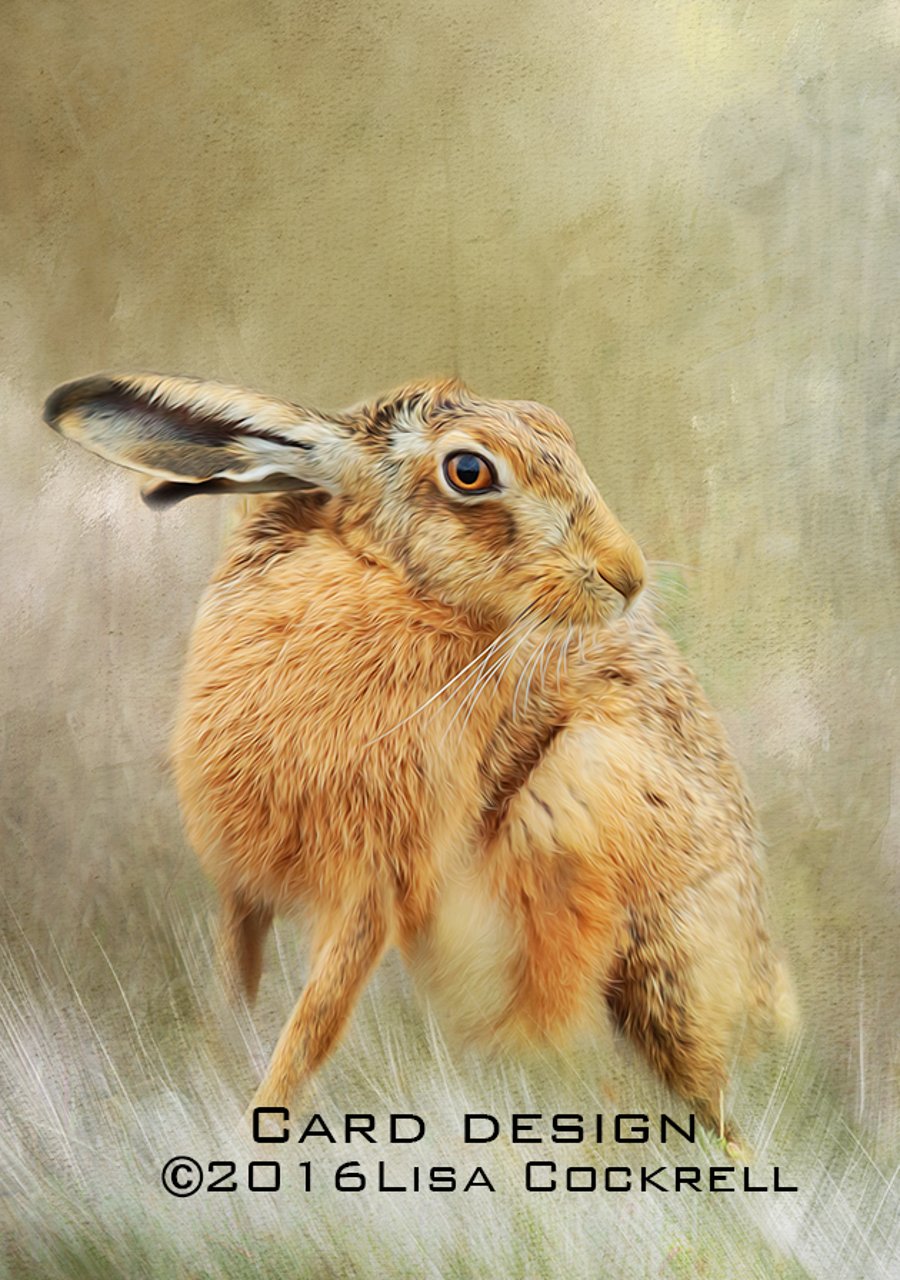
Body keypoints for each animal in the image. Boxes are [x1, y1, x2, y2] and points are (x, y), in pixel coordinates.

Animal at [43, 371, 796, 1148]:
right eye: (469, 471)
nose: (628, 576)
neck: (386, 580)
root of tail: (764, 988)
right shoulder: (243, 883)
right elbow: (240, 976)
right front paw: (220, 1059)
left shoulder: (378, 877)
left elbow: (317, 1021)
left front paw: (260, 1121)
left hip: (637, 919)